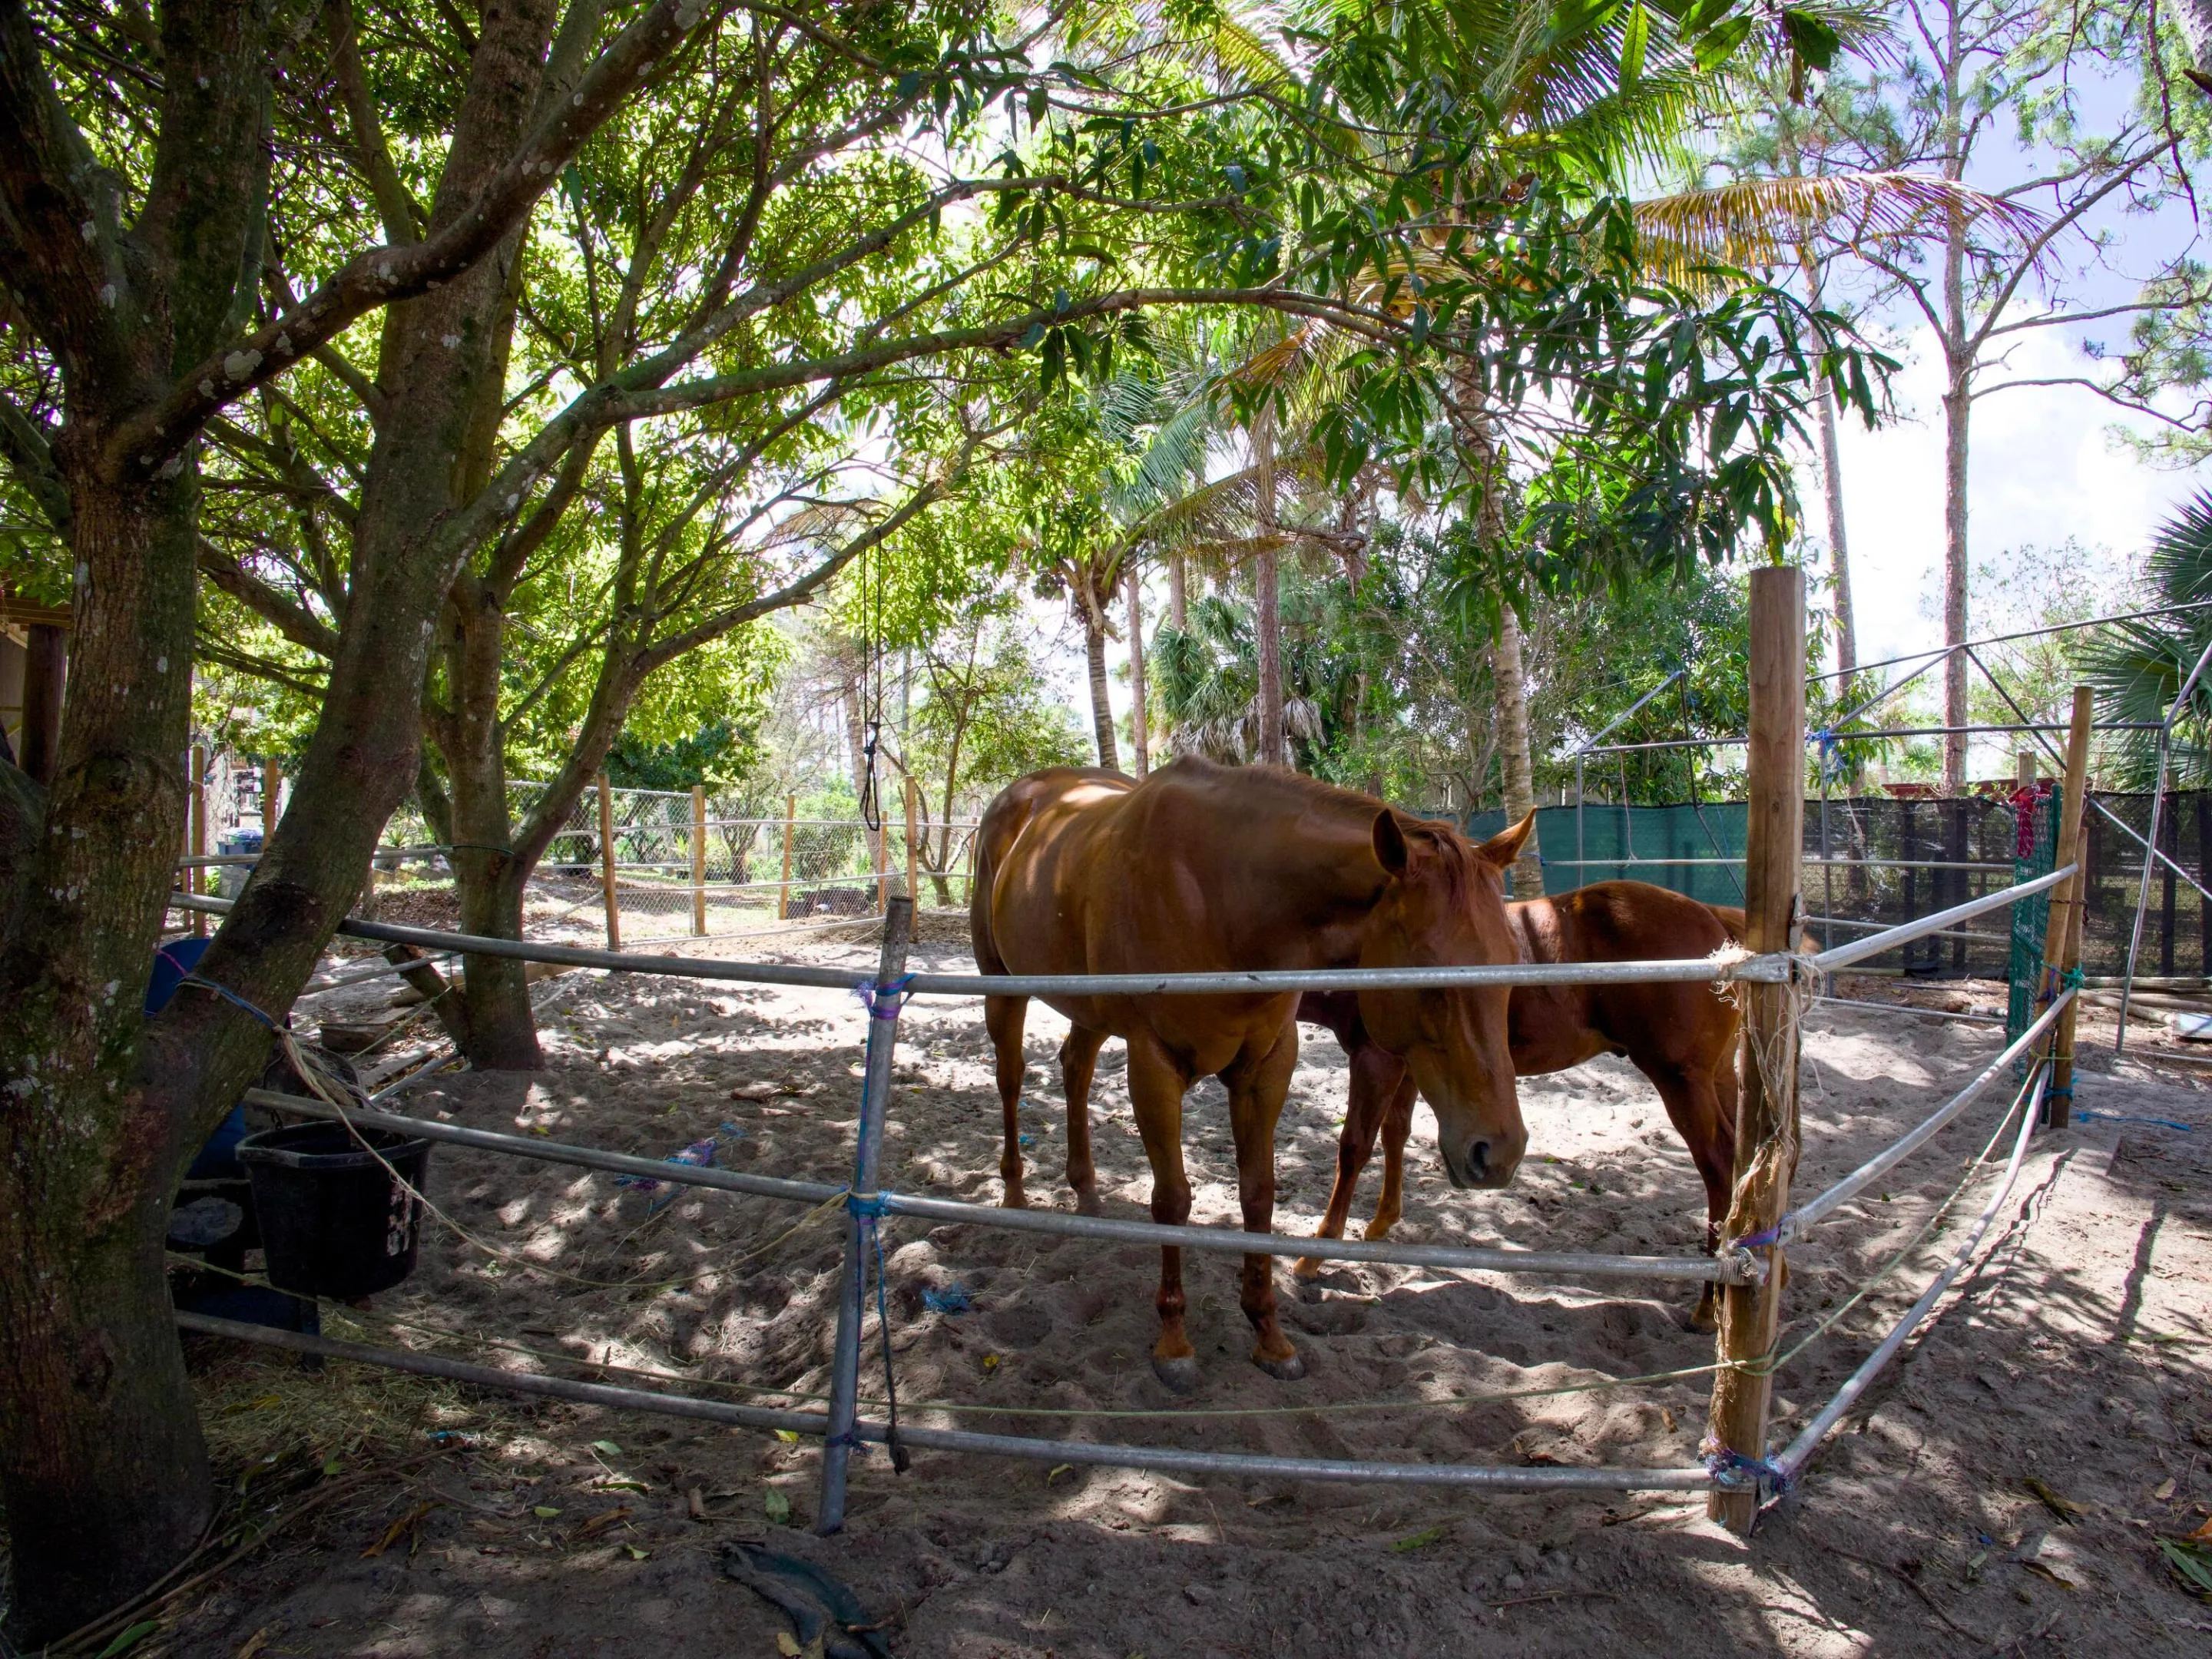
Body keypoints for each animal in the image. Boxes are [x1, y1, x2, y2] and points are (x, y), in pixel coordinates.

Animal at [972, 760, 1533, 1390]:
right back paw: (1015, 1191)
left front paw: (1269, 1333)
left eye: (1512, 964)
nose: (1499, 1151)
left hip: (1090, 1009)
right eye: (1430, 976)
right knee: (1011, 1078)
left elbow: (1259, 1195)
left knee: (1075, 1069)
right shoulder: (1153, 1064)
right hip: (1002, 986)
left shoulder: (1268, 1066)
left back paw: (1087, 1191)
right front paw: (1174, 1342)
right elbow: (1173, 1200)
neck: (1222, 896)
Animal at [1291, 881, 1752, 1327]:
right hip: (1720, 1078)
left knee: (1717, 1165)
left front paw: (1315, 1253)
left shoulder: (1376, 1059)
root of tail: (1713, 917)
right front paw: (1381, 1223)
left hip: (1683, 1082)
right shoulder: (1408, 1065)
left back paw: (1708, 1304)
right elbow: (1395, 1134)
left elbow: (1355, 1146)